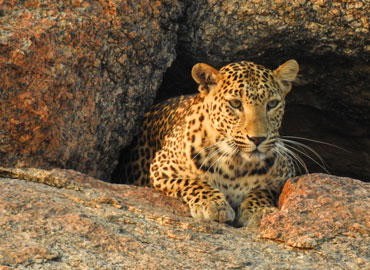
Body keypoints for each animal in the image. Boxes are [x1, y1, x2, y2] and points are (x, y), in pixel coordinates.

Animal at [112, 59, 298, 228]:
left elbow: (263, 190)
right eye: (235, 103)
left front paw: (260, 211)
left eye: (272, 104)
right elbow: (192, 182)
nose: (258, 139)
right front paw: (214, 205)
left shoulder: (285, 175)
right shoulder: (161, 167)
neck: (236, 166)